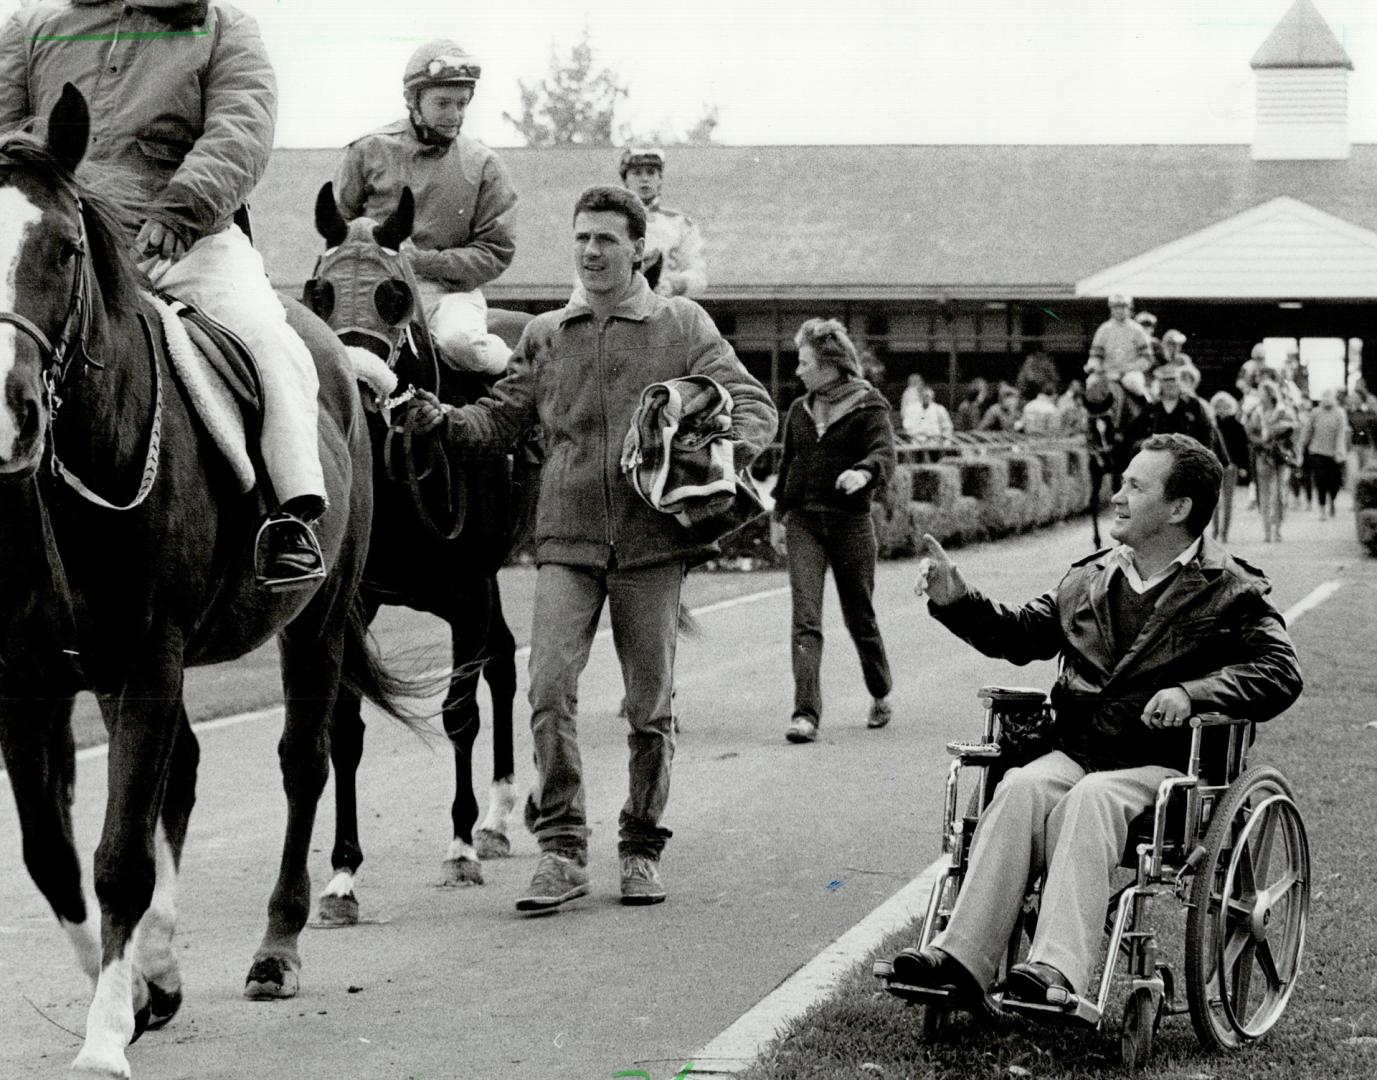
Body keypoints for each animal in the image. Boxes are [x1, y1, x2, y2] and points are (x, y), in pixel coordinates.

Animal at [0, 88, 413, 1074]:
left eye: (63, 249)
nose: (7, 409)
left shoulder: (150, 655)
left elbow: (119, 855)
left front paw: (106, 1037)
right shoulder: (30, 677)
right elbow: (51, 855)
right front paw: (137, 994)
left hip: (319, 621)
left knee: (304, 763)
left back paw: (278, 945)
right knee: (182, 775)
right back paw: (161, 964)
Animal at [305, 179, 531, 920]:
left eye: (393, 293)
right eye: (317, 290)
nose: (351, 384)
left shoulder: (465, 592)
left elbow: (459, 713)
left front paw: (458, 849)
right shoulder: (353, 606)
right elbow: (344, 729)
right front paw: (342, 875)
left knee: (505, 669)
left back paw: (491, 821)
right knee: (506, 658)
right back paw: (497, 820)